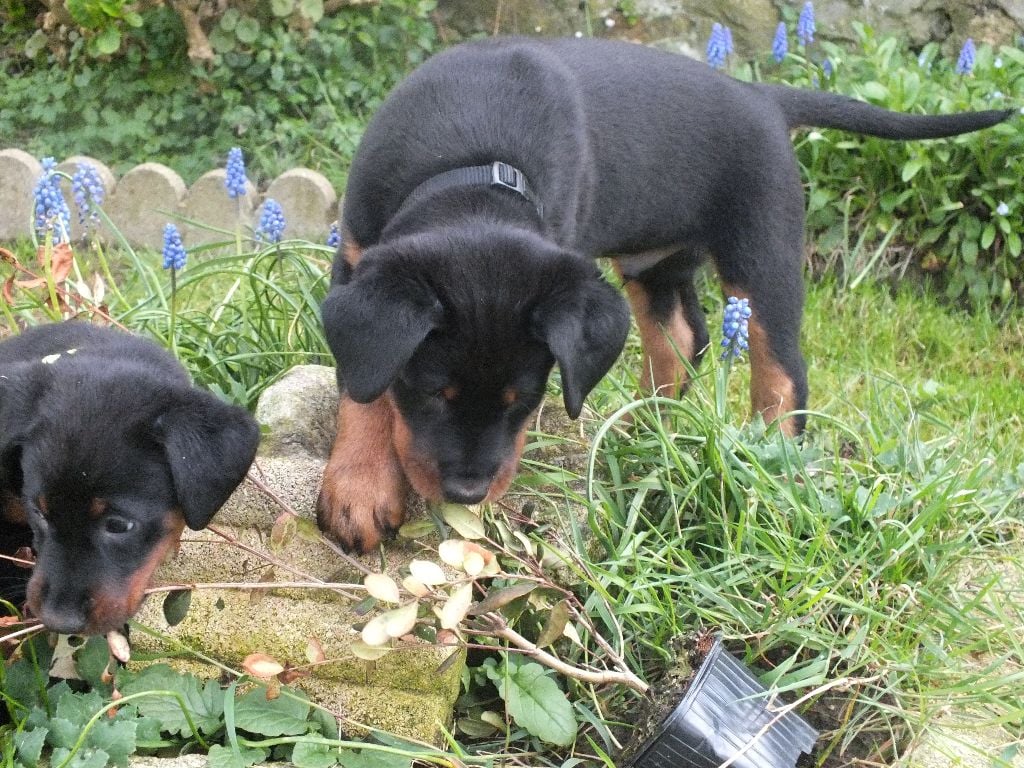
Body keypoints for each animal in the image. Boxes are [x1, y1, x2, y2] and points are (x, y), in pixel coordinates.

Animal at [317, 36, 1012, 553]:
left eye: (528, 399)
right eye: (432, 393)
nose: (467, 492)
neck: (471, 160)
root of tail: (765, 95)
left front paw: (358, 492)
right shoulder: (355, 256)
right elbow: (362, 386)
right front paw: (359, 487)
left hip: (762, 254)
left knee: (782, 373)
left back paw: (764, 461)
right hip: (657, 264)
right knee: (682, 338)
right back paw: (644, 431)